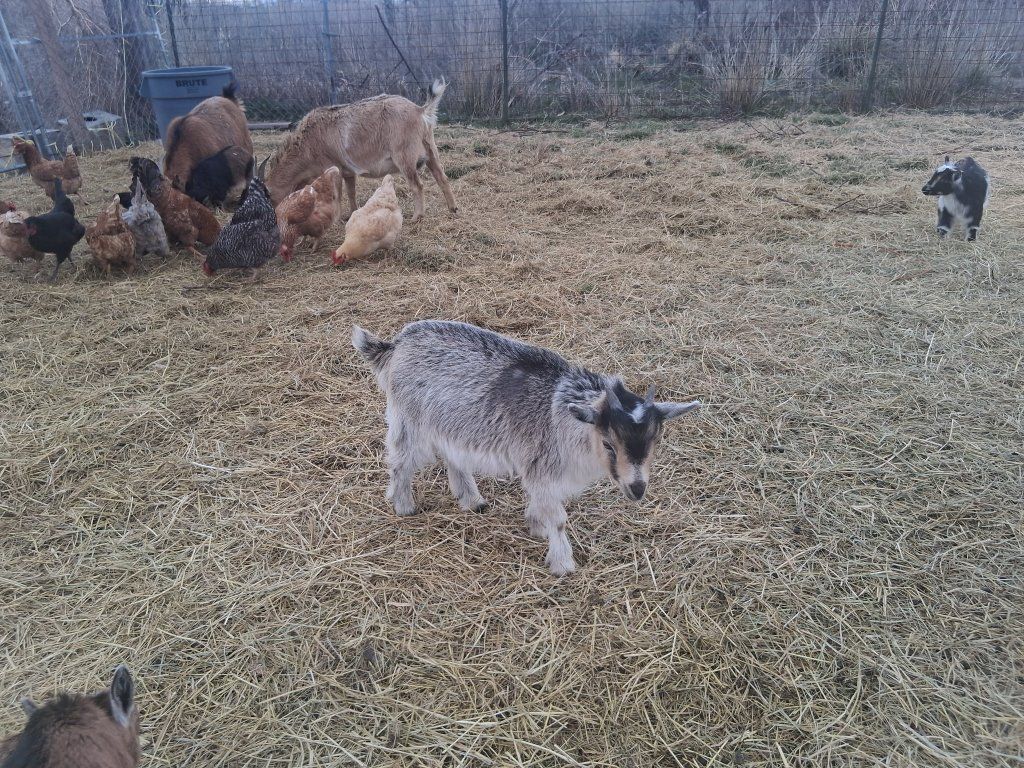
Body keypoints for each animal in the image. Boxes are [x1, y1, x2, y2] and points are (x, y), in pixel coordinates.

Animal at [266, 80, 457, 222]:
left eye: (270, 197)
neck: (308, 144)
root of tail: (420, 110)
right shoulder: (348, 171)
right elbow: (351, 192)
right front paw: (353, 212)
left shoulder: (332, 168)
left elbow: (337, 195)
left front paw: (336, 219)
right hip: (430, 149)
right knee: (442, 177)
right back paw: (453, 208)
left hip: (404, 156)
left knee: (417, 185)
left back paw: (417, 217)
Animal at [352, 320, 701, 576]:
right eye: (608, 444)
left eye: (655, 440)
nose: (637, 488)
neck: (563, 415)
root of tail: (395, 344)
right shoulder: (541, 467)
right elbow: (558, 518)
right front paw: (562, 564)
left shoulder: (540, 471)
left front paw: (535, 525)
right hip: (409, 420)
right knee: (400, 460)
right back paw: (403, 505)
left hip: (452, 423)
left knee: (454, 457)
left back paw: (472, 500)